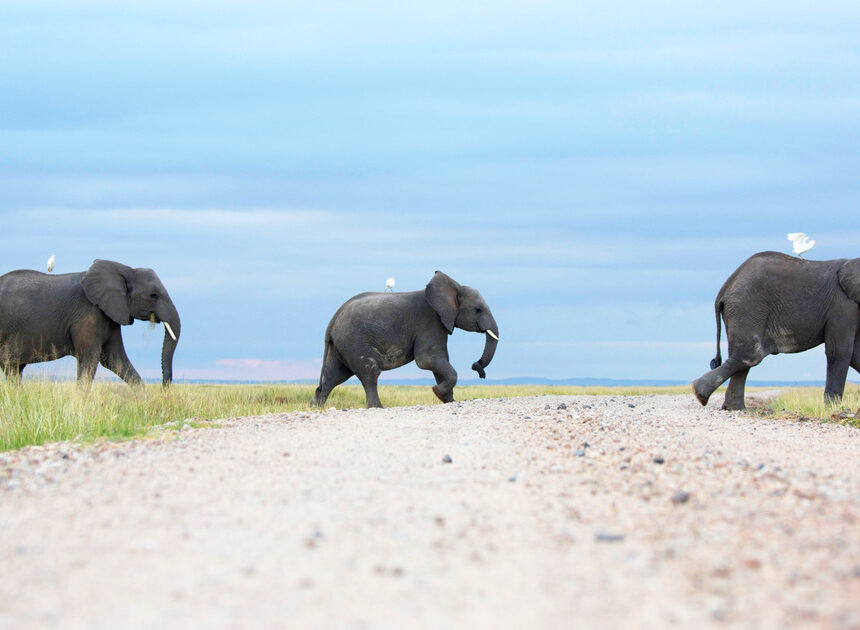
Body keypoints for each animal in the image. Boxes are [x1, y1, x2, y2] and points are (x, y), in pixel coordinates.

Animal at [0, 260, 181, 388]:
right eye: (153, 295)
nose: (163, 388)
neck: (124, 269)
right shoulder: (88, 313)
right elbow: (89, 359)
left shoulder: (109, 315)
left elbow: (115, 359)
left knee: (13, 370)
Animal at [310, 272, 498, 410]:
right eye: (478, 309)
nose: (477, 368)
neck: (453, 287)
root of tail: (332, 321)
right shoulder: (430, 322)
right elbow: (427, 359)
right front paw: (437, 392)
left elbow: (438, 361)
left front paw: (448, 400)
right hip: (353, 341)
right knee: (370, 370)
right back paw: (377, 407)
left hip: (341, 345)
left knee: (334, 375)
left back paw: (316, 406)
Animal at [692, 252, 860, 410]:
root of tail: (724, 288)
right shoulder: (843, 305)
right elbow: (839, 351)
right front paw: (831, 408)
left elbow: (854, 353)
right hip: (748, 308)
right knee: (750, 354)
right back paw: (699, 393)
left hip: (741, 311)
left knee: (742, 357)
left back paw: (733, 408)